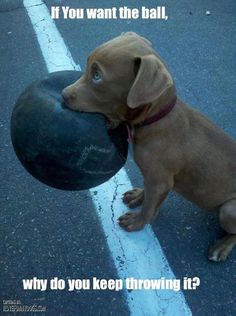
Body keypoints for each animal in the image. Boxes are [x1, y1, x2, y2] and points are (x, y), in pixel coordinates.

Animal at [61, 31, 235, 262]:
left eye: (97, 76)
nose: (63, 94)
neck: (156, 119)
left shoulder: (160, 180)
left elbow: (150, 207)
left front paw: (138, 222)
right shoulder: (156, 179)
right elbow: (149, 196)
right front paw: (137, 197)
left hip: (229, 210)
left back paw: (221, 247)